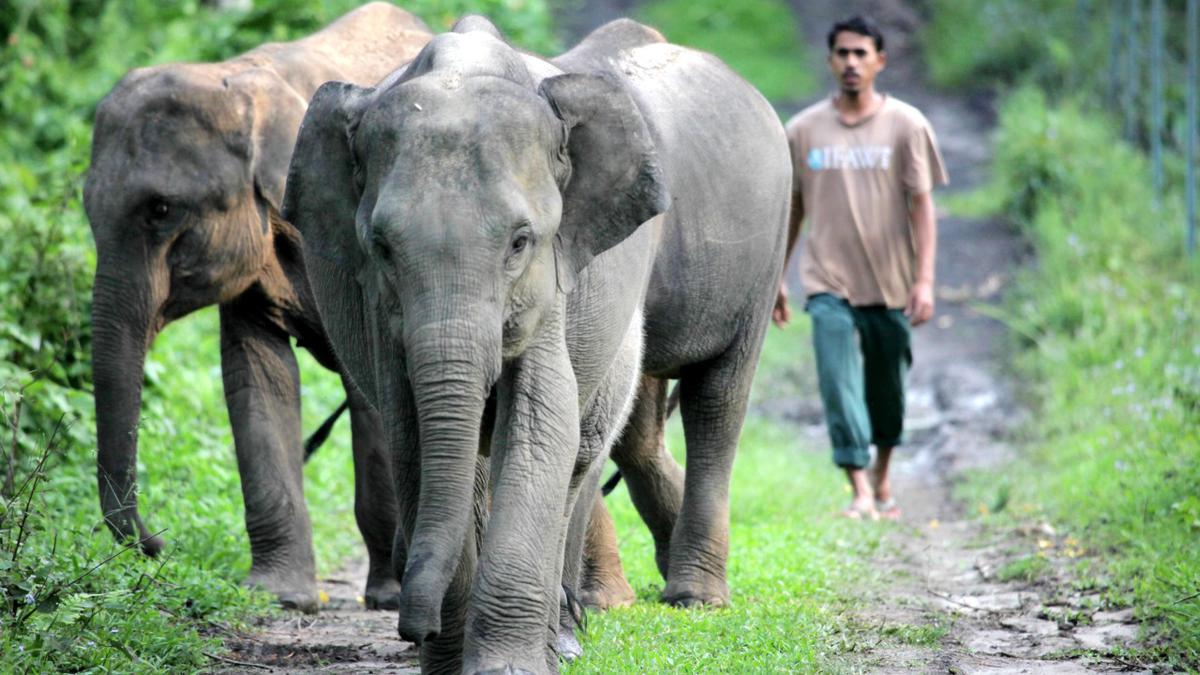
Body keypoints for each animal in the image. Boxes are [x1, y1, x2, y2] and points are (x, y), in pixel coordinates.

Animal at [83, 2, 432, 610]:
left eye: (161, 210)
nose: (158, 545)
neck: (240, 81)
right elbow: (256, 376)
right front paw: (280, 597)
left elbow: (369, 388)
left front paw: (388, 598)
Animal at [279, 13, 787, 667]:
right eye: (382, 248)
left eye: (520, 242)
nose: (411, 629)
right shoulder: (375, 310)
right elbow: (414, 436)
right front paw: (452, 663)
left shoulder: (556, 279)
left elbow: (540, 423)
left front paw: (504, 667)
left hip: (761, 258)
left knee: (707, 405)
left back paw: (665, 608)